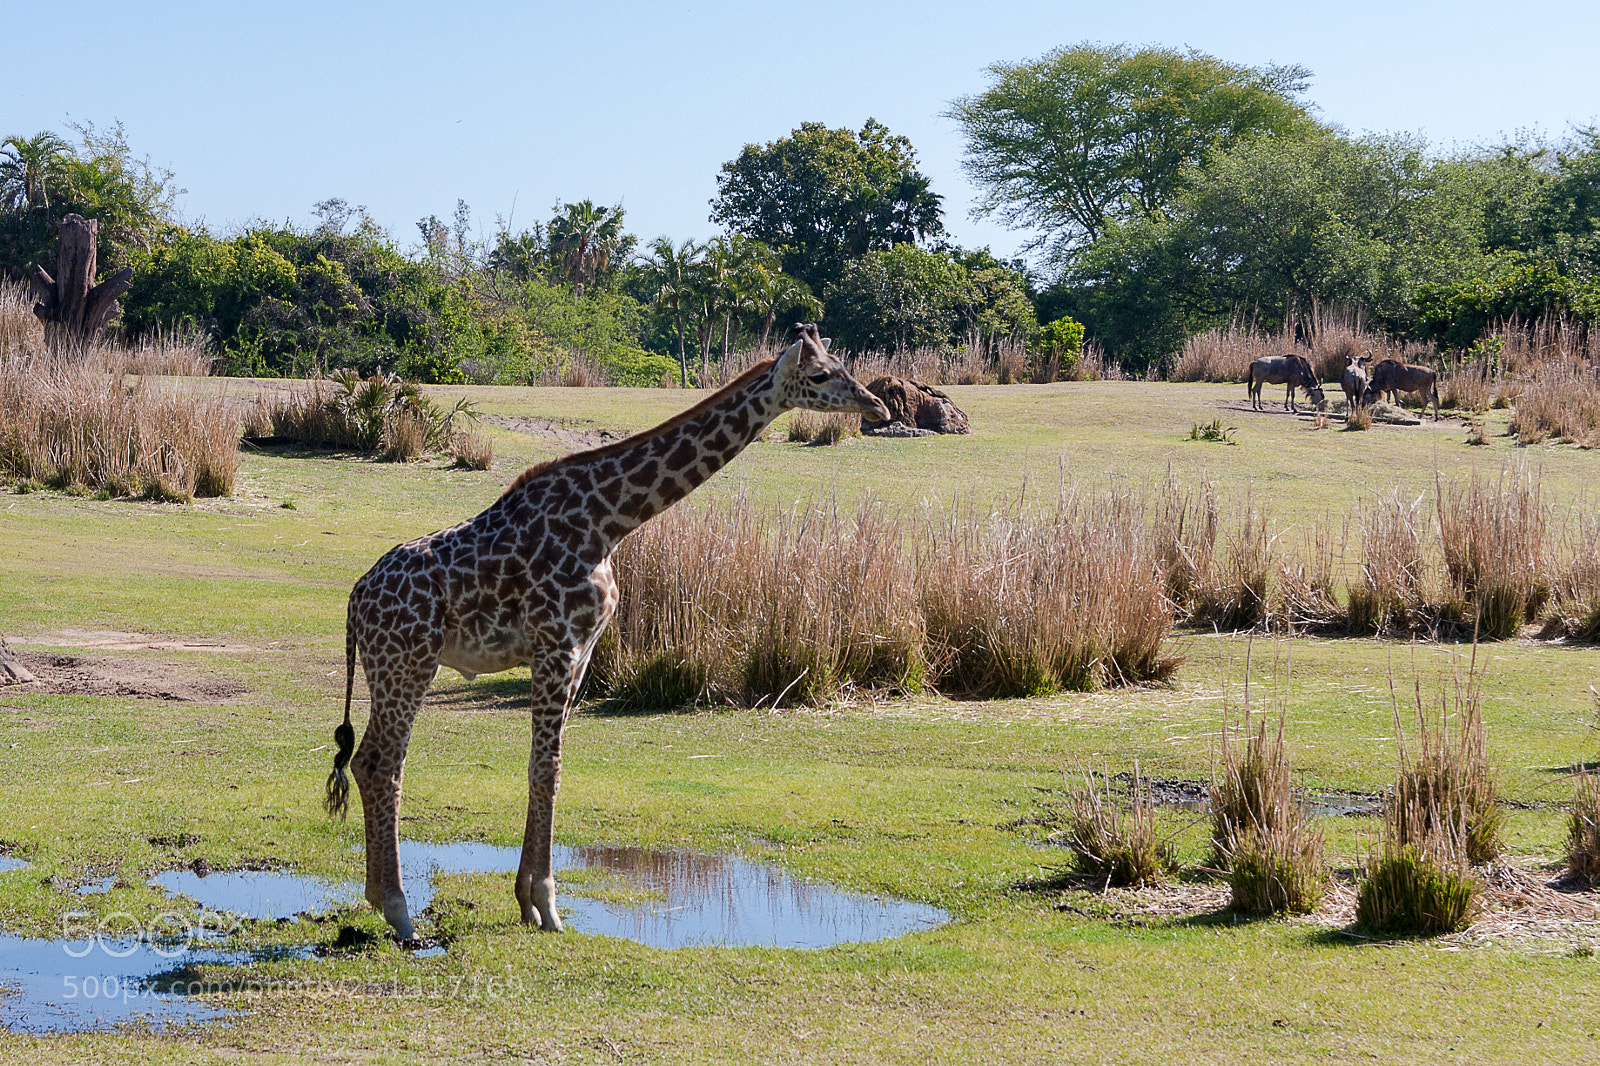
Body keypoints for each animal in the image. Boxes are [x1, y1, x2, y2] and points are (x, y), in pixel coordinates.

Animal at [323, 323, 890, 939]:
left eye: (845, 367)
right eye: (821, 375)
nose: (877, 406)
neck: (610, 522)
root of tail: (355, 601)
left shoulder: (582, 652)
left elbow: (544, 769)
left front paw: (527, 902)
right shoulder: (557, 646)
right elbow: (547, 769)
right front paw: (547, 905)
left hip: (388, 667)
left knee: (366, 761)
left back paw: (378, 898)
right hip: (409, 662)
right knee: (383, 764)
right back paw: (400, 911)